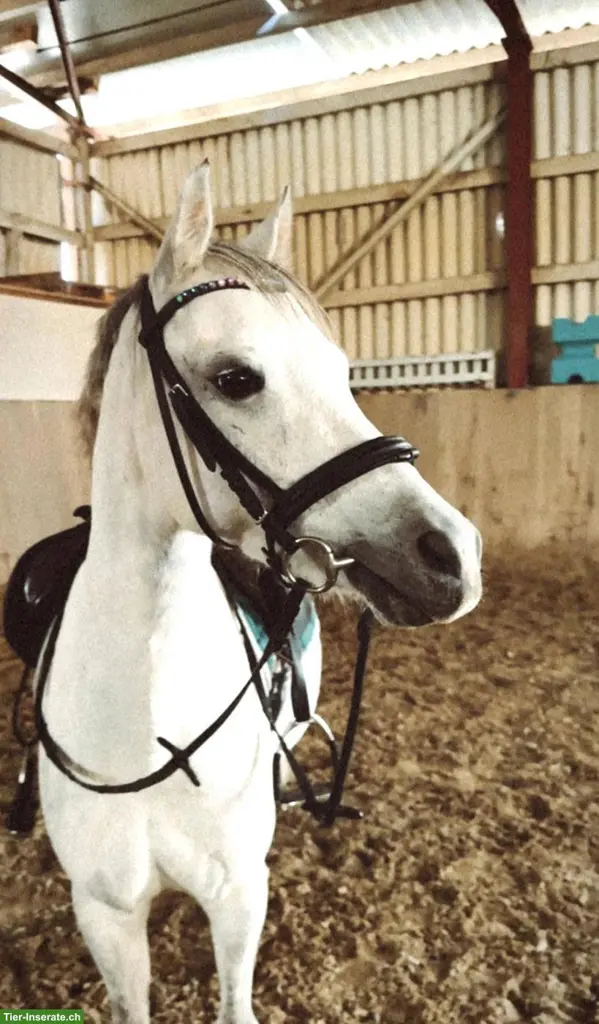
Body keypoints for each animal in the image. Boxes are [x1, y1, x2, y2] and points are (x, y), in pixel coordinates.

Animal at [37, 161, 482, 1024]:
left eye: (343, 376)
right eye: (236, 379)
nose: (452, 554)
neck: (149, 729)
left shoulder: (239, 899)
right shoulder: (105, 915)